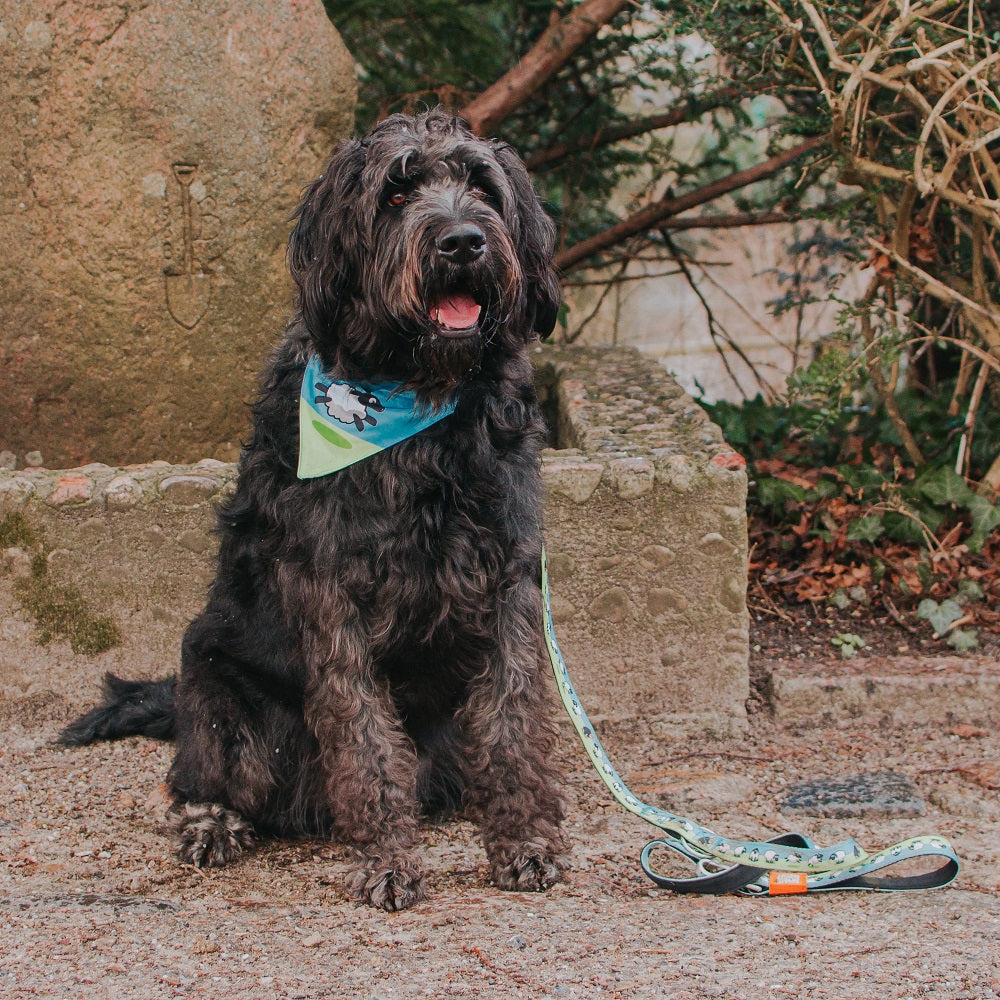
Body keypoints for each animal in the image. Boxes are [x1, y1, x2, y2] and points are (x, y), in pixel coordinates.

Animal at [58, 111, 568, 916]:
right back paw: (212, 822)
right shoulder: (333, 596)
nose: (462, 242)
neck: (417, 402)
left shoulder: (509, 582)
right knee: (198, 776)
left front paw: (524, 842)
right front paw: (385, 858)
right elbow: (363, 739)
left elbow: (513, 722)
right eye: (396, 193)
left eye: (482, 186)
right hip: (223, 702)